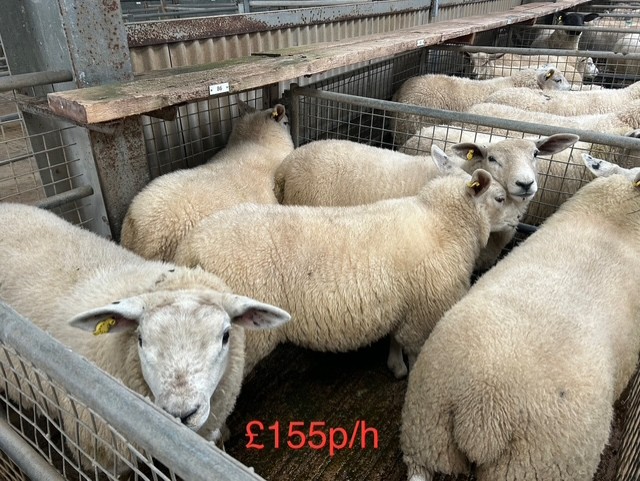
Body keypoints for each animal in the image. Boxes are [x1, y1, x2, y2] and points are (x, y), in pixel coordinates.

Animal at [174, 148, 523, 379]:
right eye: (499, 198)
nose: (520, 219)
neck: (442, 222)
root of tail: (189, 249)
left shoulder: (404, 306)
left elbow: (394, 339)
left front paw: (394, 365)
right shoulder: (424, 313)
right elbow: (413, 352)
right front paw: (406, 373)